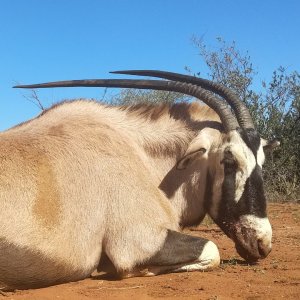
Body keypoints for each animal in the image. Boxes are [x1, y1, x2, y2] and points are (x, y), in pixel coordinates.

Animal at [0, 71, 276, 290]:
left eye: (261, 161)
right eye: (229, 161)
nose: (262, 243)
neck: (135, 149)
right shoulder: (137, 242)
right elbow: (212, 250)